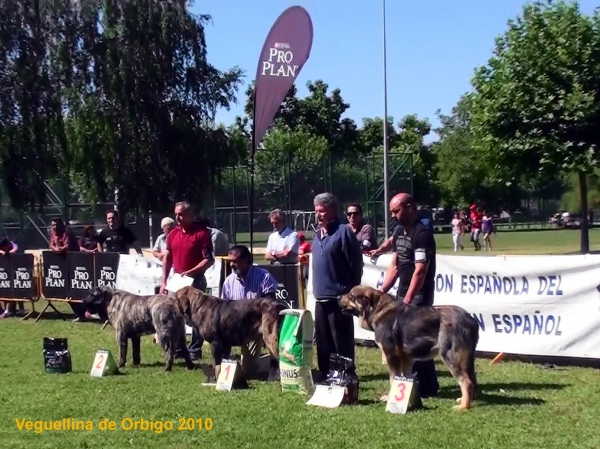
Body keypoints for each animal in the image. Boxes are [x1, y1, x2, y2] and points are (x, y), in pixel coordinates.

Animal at [340, 286, 480, 408]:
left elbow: (392, 379)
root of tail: (470, 319)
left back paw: (463, 406)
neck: (377, 310)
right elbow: (403, 378)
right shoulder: (406, 359)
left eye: (351, 295)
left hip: (450, 356)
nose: (337, 297)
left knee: (467, 382)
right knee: (472, 380)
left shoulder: (392, 355)